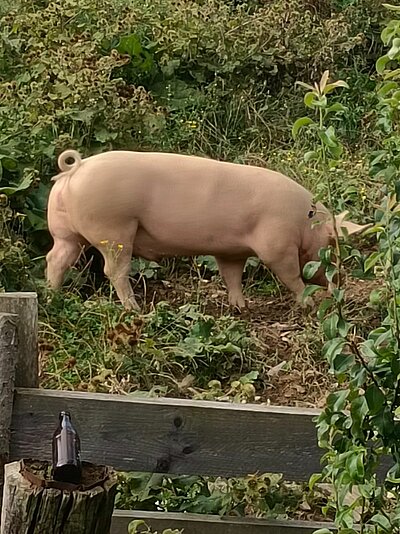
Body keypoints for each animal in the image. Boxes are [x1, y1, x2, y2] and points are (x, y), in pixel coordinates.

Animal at [45, 149, 368, 312]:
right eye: (332, 245)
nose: (342, 283)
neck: (303, 221)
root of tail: (76, 168)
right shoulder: (276, 245)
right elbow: (290, 275)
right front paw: (308, 302)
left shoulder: (231, 252)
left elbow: (232, 276)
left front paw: (241, 307)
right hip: (114, 229)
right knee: (114, 271)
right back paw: (135, 309)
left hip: (65, 232)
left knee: (56, 260)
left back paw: (52, 295)